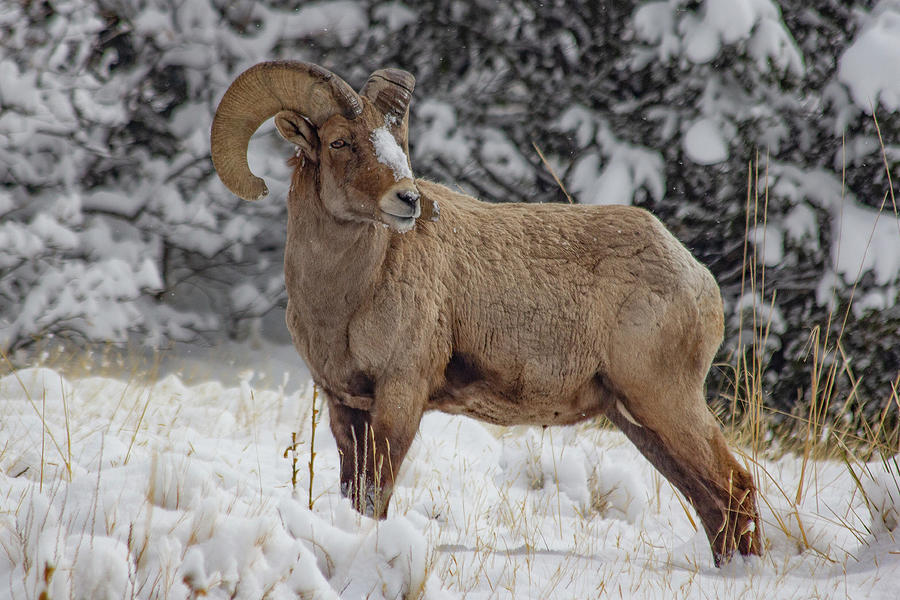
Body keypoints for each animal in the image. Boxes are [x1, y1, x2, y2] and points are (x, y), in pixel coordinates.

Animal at [211, 62, 760, 568]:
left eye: (398, 144)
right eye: (339, 142)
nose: (407, 200)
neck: (346, 301)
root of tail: (699, 279)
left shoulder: (401, 395)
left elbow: (375, 494)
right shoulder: (344, 406)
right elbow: (354, 492)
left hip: (666, 401)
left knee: (734, 485)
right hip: (638, 420)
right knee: (712, 502)